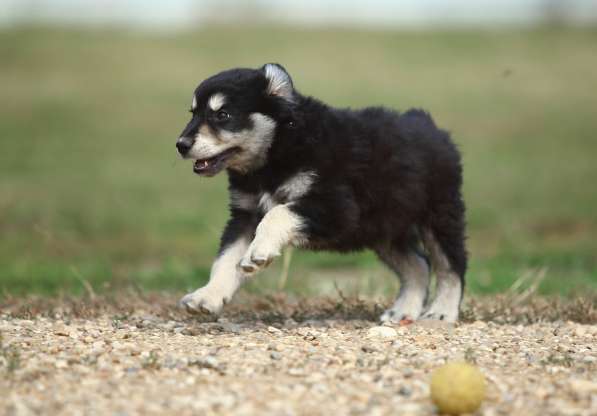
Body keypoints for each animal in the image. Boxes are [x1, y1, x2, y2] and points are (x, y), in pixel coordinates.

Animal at [176, 64, 466, 322]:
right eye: (193, 113)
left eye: (222, 114)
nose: (181, 145)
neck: (278, 148)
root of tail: (431, 126)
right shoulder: (244, 215)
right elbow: (226, 258)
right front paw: (208, 296)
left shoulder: (337, 208)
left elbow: (277, 214)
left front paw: (260, 252)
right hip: (384, 230)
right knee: (419, 265)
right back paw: (404, 310)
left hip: (439, 214)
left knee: (451, 265)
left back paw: (442, 312)